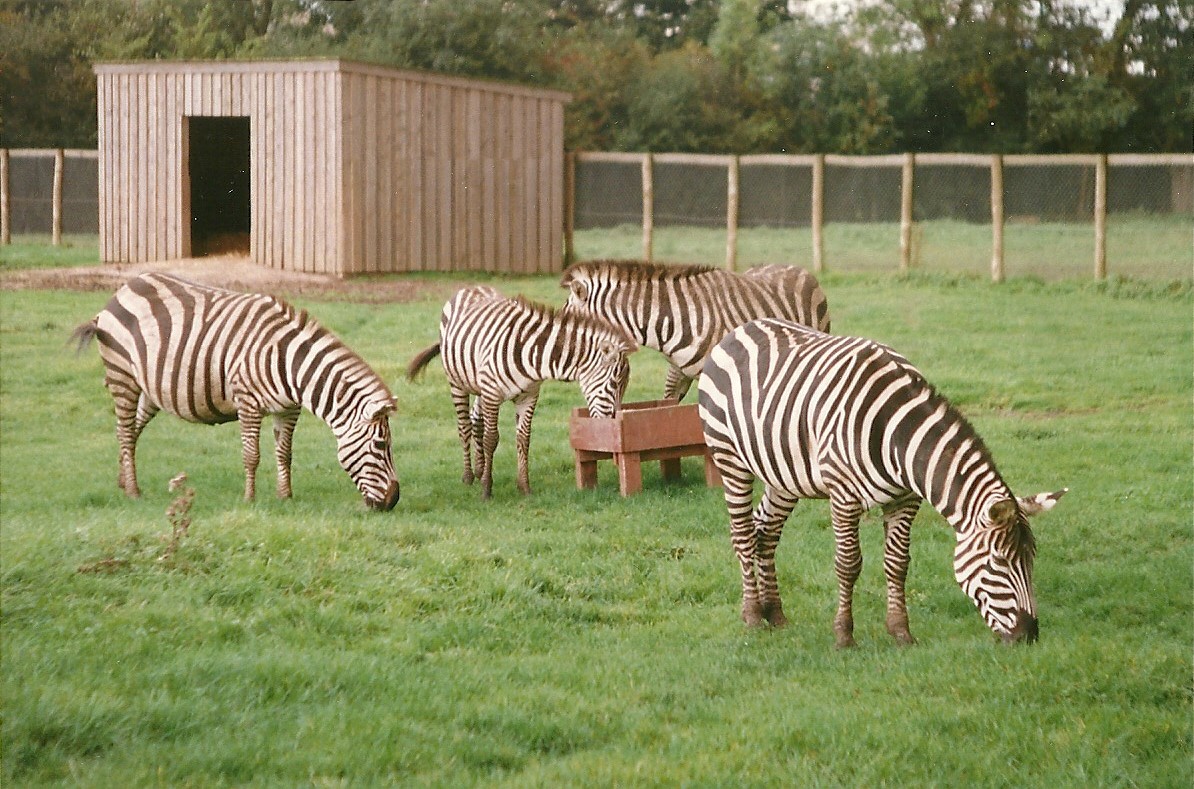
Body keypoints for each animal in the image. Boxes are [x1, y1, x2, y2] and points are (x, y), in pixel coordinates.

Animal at [72, 272, 400, 510]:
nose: (393, 501)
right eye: (381, 445)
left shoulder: (289, 409)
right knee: (126, 431)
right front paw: (250, 499)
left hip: (152, 389)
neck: (290, 363)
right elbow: (251, 455)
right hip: (122, 375)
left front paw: (285, 496)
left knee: (130, 431)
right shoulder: (248, 402)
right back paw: (134, 492)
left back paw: (122, 481)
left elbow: (285, 453)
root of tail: (124, 288)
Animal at [407, 285, 635, 499]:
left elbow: (524, 439)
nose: (612, 423)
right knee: (464, 426)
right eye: (614, 383)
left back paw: (480, 469)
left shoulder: (528, 396)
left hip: (480, 385)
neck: (532, 355)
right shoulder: (492, 394)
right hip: (457, 383)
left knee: (476, 421)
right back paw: (469, 476)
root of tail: (471, 287)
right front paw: (487, 490)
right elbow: (492, 439)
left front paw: (524, 487)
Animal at [697, 318, 1066, 646]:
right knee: (743, 535)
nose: (1029, 636)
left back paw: (774, 613)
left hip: (784, 474)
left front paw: (901, 632)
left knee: (766, 532)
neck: (898, 439)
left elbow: (898, 564)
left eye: (1032, 559)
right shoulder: (843, 496)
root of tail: (741, 328)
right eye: (998, 562)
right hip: (730, 458)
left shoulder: (905, 499)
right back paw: (752, 616)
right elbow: (848, 564)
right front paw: (844, 636)